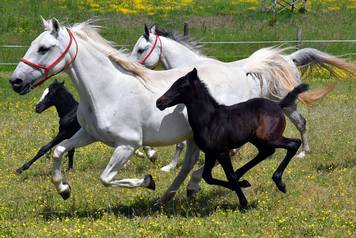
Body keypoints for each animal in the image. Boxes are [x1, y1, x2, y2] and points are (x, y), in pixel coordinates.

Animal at [131, 24, 356, 173]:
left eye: (141, 49)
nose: (132, 69)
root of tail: (288, 59)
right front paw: (150, 155)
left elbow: (180, 143)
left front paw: (165, 165)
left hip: (288, 104)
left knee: (301, 123)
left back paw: (303, 153)